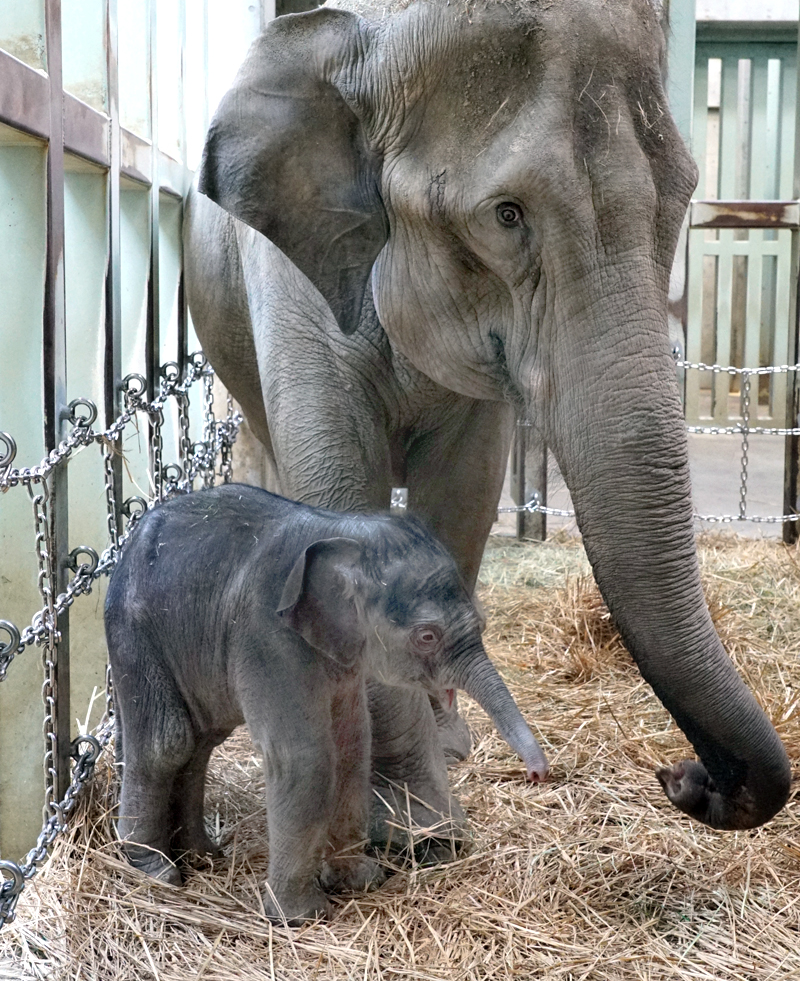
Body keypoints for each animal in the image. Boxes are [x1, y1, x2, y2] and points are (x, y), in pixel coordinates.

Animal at [104, 486, 552, 924]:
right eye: (427, 636)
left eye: (483, 623)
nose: (538, 774)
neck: (342, 531)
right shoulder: (266, 634)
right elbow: (306, 757)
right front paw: (300, 918)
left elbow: (352, 747)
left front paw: (362, 880)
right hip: (134, 634)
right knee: (169, 742)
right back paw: (155, 871)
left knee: (202, 742)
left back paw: (203, 857)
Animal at [184, 0, 792, 836]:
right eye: (506, 215)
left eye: (679, 201)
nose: (682, 775)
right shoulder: (292, 280)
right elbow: (338, 498)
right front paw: (411, 817)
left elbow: (464, 497)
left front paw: (444, 752)